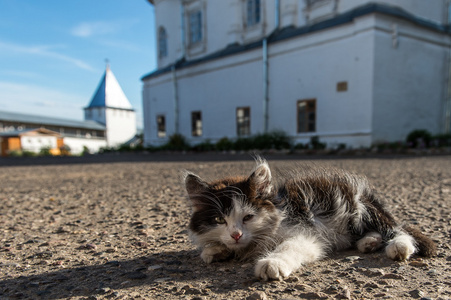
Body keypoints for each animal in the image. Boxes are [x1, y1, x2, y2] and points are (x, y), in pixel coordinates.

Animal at [184, 157, 438, 282]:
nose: (236, 234)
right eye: (219, 219)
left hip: (362, 205)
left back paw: (399, 246)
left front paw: (272, 262)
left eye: (248, 217)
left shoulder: (307, 234)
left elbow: (290, 246)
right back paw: (369, 242)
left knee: (396, 229)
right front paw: (215, 249)